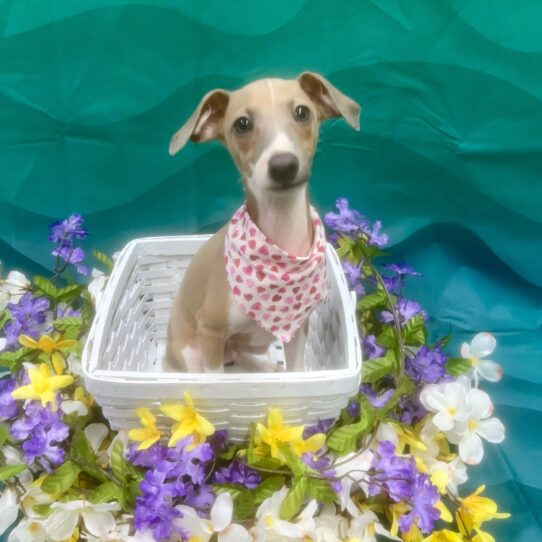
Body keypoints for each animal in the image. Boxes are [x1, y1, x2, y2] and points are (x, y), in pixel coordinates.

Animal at [166, 71, 362, 374]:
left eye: (302, 112)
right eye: (242, 124)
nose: (283, 165)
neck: (281, 238)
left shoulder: (298, 331)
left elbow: (295, 373)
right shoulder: (210, 333)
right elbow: (216, 378)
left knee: (238, 353)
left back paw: (268, 368)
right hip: (192, 354)